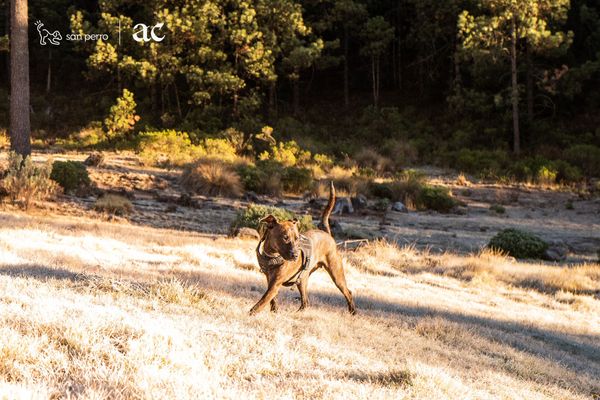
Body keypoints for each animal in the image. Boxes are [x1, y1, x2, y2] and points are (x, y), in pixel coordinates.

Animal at [250, 182, 356, 316]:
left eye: (297, 238)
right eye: (285, 237)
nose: (295, 256)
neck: (272, 255)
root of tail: (327, 233)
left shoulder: (275, 284)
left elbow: (262, 301)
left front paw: (250, 314)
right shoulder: (270, 280)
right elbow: (271, 299)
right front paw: (274, 311)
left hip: (336, 274)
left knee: (347, 291)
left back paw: (353, 311)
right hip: (303, 279)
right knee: (305, 302)